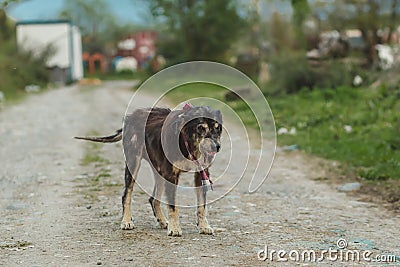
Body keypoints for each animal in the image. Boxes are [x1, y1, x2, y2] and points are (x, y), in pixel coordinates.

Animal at [76, 105, 222, 238]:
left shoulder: (201, 174)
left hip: (159, 171)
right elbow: (173, 206)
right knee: (126, 195)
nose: (217, 146)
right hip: (133, 163)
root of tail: (130, 117)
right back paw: (126, 221)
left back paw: (162, 221)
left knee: (153, 199)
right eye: (201, 128)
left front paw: (204, 226)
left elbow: (202, 206)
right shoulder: (171, 175)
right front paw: (175, 228)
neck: (188, 144)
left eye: (217, 128)